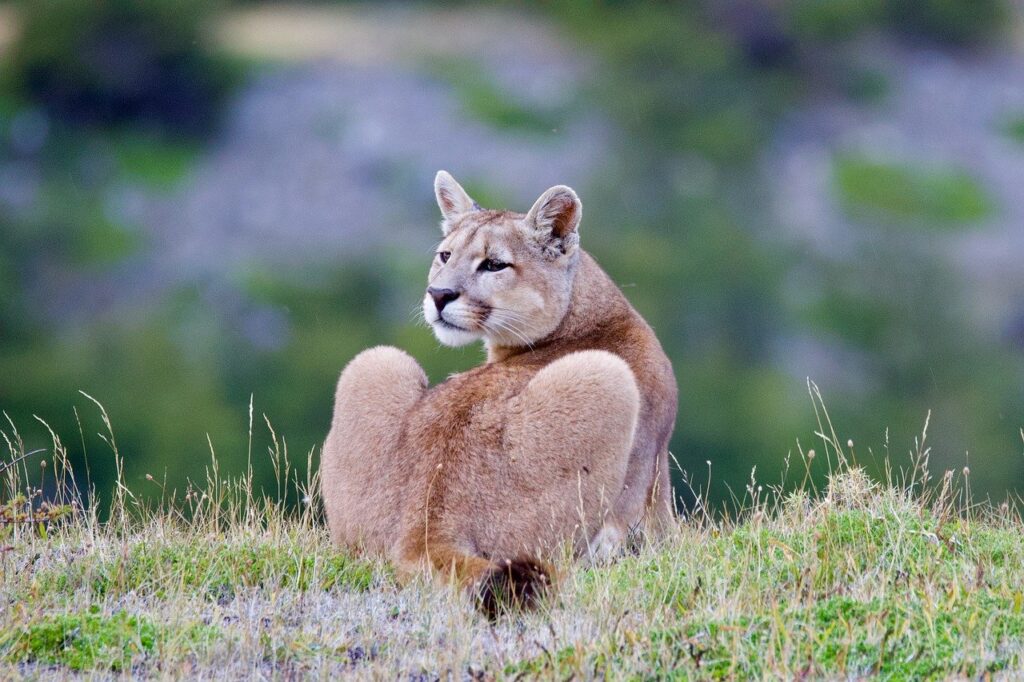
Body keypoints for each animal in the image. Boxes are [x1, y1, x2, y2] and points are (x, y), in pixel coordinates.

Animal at [321, 171, 677, 615]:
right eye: (445, 255)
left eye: (494, 264)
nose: (439, 295)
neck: (588, 312)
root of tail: (426, 526)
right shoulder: (654, 477)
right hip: (606, 377)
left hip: (373, 361)